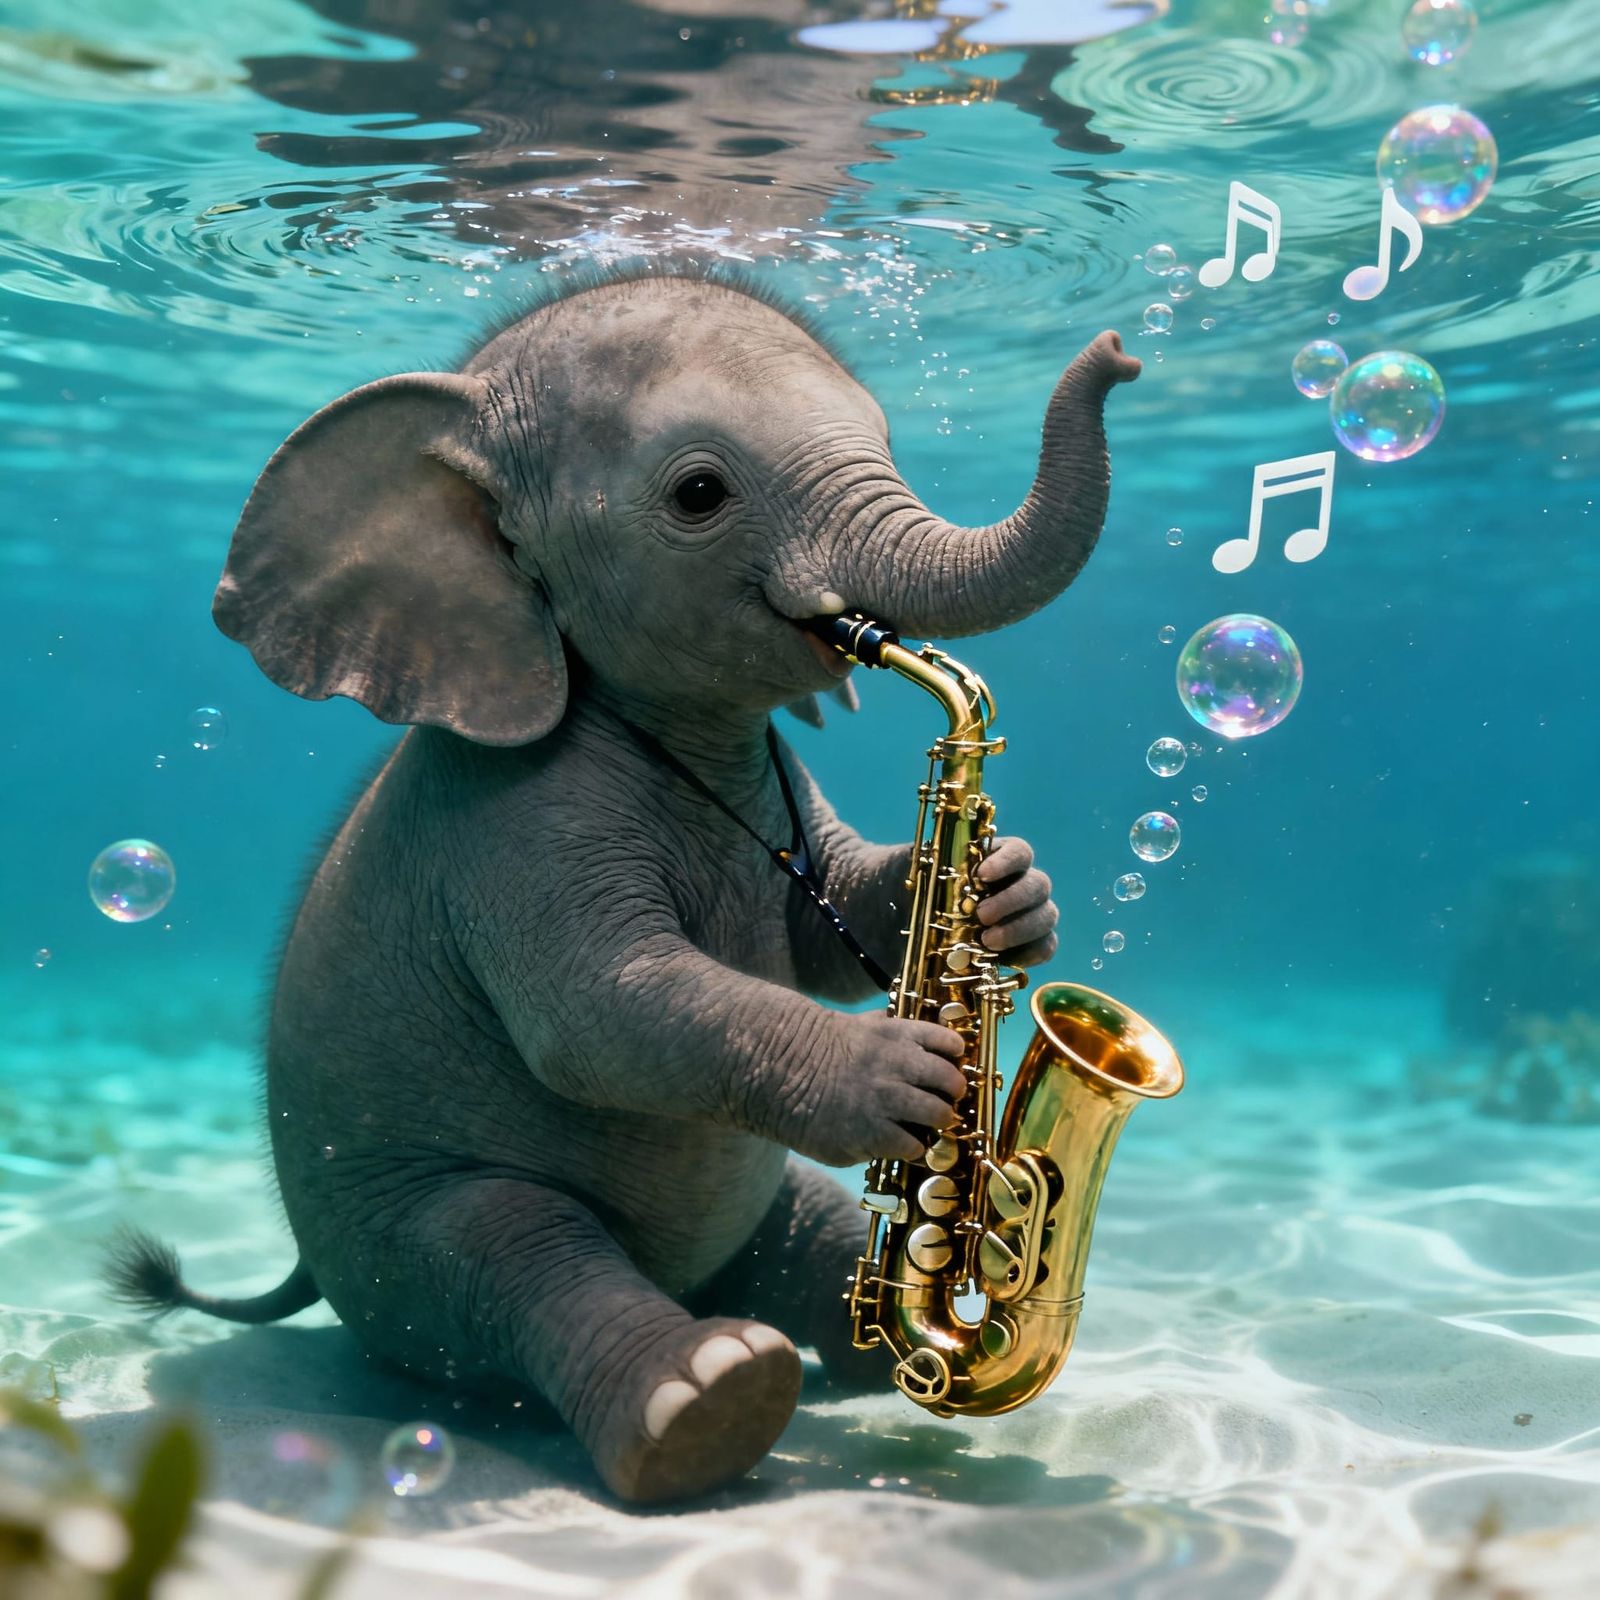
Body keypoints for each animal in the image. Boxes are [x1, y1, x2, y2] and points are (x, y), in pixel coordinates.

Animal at [109, 266, 1139, 1504]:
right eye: (699, 494)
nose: (1120, 355)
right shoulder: (513, 825)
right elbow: (605, 1011)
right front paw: (897, 1068)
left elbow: (828, 915)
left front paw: (1009, 895)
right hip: (411, 1231)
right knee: (521, 1254)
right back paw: (709, 1394)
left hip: (765, 1206)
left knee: (813, 1237)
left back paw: (871, 1355)